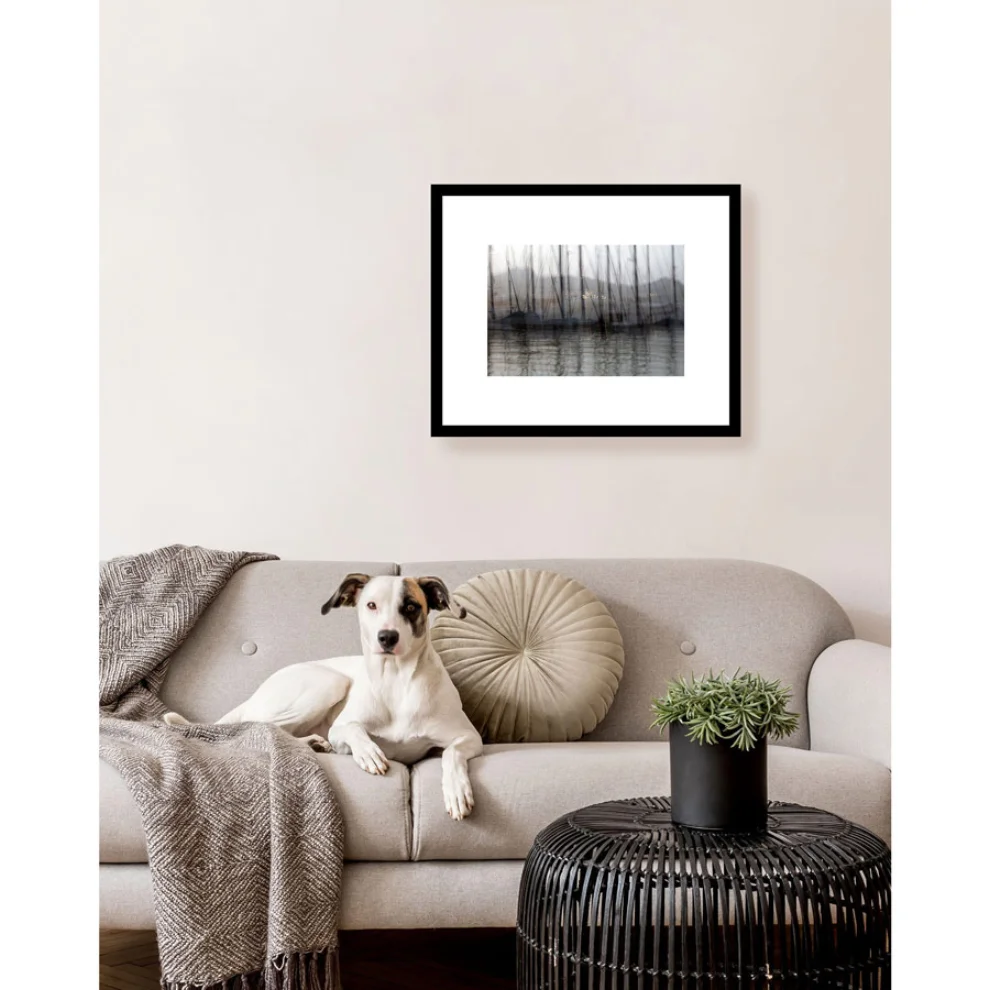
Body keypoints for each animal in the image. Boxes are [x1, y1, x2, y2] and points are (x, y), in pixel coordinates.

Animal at [164, 573, 483, 820]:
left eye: (411, 606)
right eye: (371, 605)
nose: (386, 637)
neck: (396, 680)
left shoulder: (469, 737)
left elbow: (452, 753)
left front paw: (456, 791)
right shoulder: (340, 730)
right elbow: (353, 730)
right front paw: (369, 752)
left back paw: (312, 744)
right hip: (330, 682)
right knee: (262, 726)